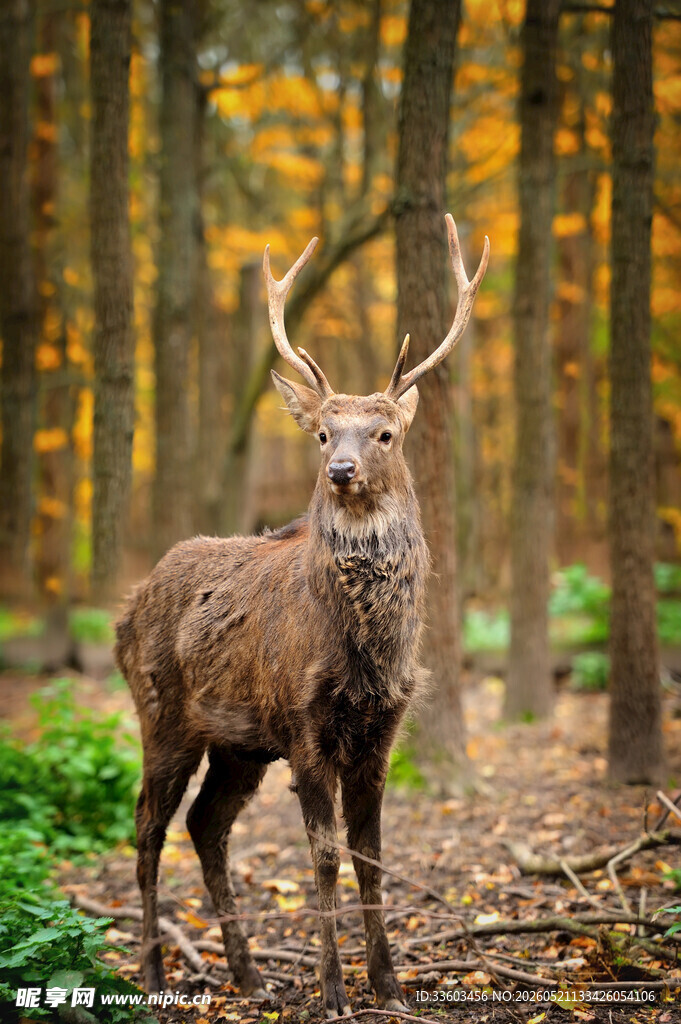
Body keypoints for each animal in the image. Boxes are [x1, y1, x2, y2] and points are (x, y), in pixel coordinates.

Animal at [115, 213, 489, 1018]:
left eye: (383, 433)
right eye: (322, 432)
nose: (340, 471)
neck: (365, 655)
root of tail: (124, 613)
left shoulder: (381, 733)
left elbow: (373, 858)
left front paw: (389, 986)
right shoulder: (303, 726)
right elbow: (323, 861)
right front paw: (334, 991)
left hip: (238, 744)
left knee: (205, 824)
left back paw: (250, 976)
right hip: (162, 714)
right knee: (147, 827)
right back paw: (155, 974)